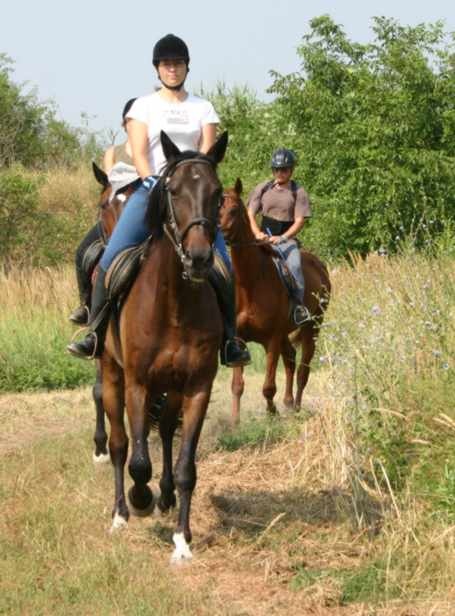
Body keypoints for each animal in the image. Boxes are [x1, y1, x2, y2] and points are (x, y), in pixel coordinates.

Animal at [99, 131, 227, 563]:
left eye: (218, 193)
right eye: (172, 190)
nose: (200, 257)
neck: (174, 305)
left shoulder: (197, 387)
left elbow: (187, 467)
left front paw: (182, 539)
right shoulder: (137, 384)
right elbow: (139, 461)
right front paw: (141, 500)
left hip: (171, 388)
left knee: (168, 432)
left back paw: (166, 496)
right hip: (112, 375)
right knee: (121, 445)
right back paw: (122, 512)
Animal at [219, 178, 331, 424]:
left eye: (234, 209)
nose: (218, 234)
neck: (250, 283)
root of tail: (320, 266)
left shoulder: (271, 339)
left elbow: (268, 386)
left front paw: (272, 413)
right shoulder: (240, 340)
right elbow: (237, 385)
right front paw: (235, 422)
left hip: (312, 326)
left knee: (302, 370)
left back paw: (296, 407)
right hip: (285, 335)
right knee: (290, 359)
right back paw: (288, 402)